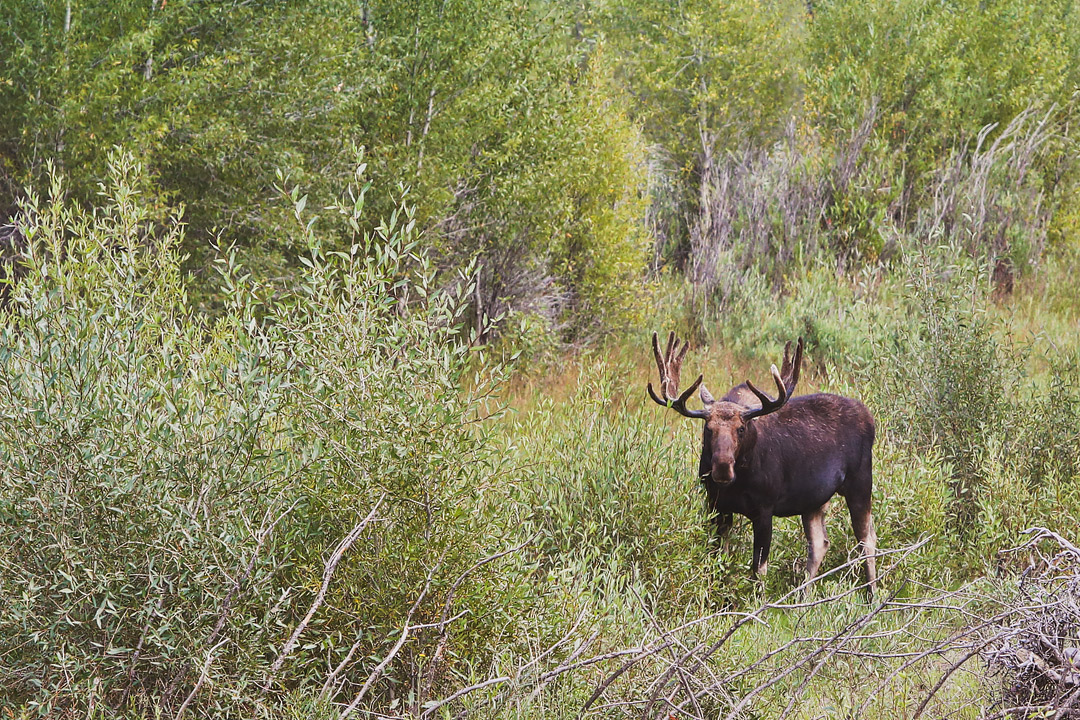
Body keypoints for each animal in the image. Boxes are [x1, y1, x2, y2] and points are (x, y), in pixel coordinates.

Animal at [643, 332, 872, 591]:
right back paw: (803, 594)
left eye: (741, 428)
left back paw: (872, 593)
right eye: (708, 429)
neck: (739, 482)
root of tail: (870, 417)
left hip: (860, 483)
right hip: (814, 500)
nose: (722, 468)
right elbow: (717, 559)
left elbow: (758, 570)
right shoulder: (716, 505)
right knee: (819, 543)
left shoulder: (765, 509)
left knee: (867, 540)